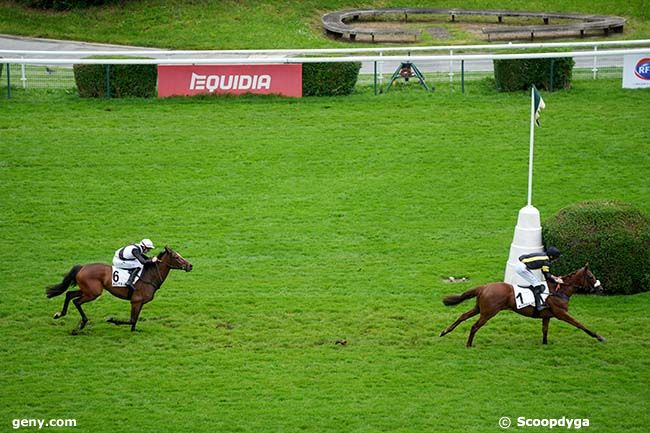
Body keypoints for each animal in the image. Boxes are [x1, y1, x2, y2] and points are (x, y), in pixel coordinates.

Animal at [45, 246, 191, 330]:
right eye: (177, 257)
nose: (190, 265)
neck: (150, 275)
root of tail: (82, 267)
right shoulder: (136, 301)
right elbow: (131, 320)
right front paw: (112, 320)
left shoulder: (140, 302)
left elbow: (134, 321)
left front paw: (134, 330)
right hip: (93, 292)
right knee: (76, 301)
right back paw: (82, 323)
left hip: (87, 290)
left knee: (69, 294)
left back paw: (60, 314)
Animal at [438, 264, 604, 346]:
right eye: (590, 276)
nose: (601, 288)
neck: (559, 290)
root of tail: (483, 287)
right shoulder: (561, 314)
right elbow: (579, 324)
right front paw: (599, 336)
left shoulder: (547, 315)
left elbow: (545, 329)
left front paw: (545, 343)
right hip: (488, 312)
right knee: (474, 326)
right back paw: (469, 344)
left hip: (480, 308)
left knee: (463, 316)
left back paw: (445, 331)